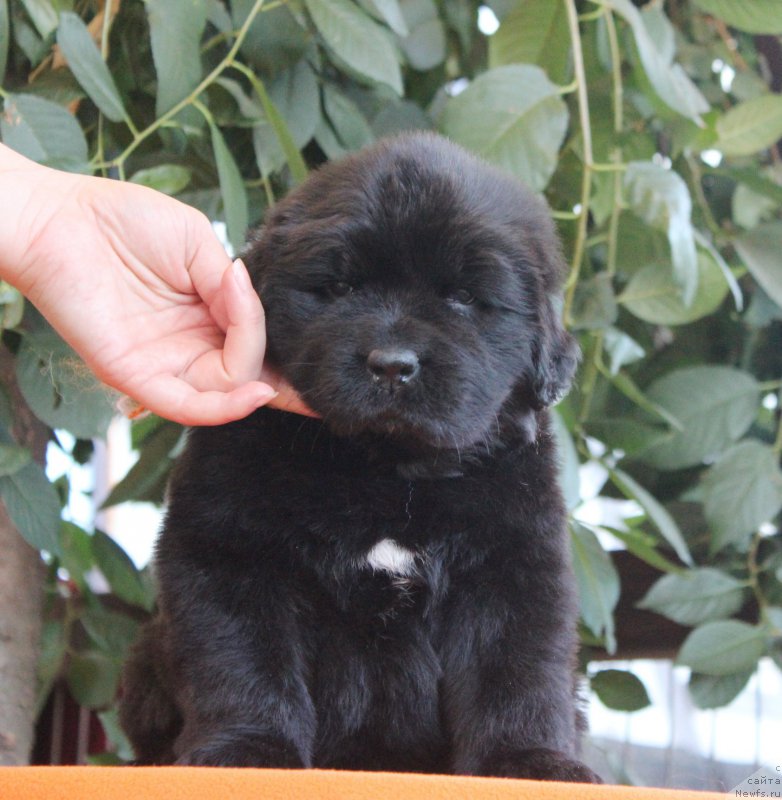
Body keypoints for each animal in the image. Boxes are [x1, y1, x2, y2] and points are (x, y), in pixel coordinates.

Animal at [121, 133, 600, 780]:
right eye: (342, 287)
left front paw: (530, 761)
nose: (392, 364)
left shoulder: (512, 566)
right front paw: (246, 751)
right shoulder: (229, 551)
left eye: (463, 297)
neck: (387, 470)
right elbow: (242, 659)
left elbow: (517, 672)